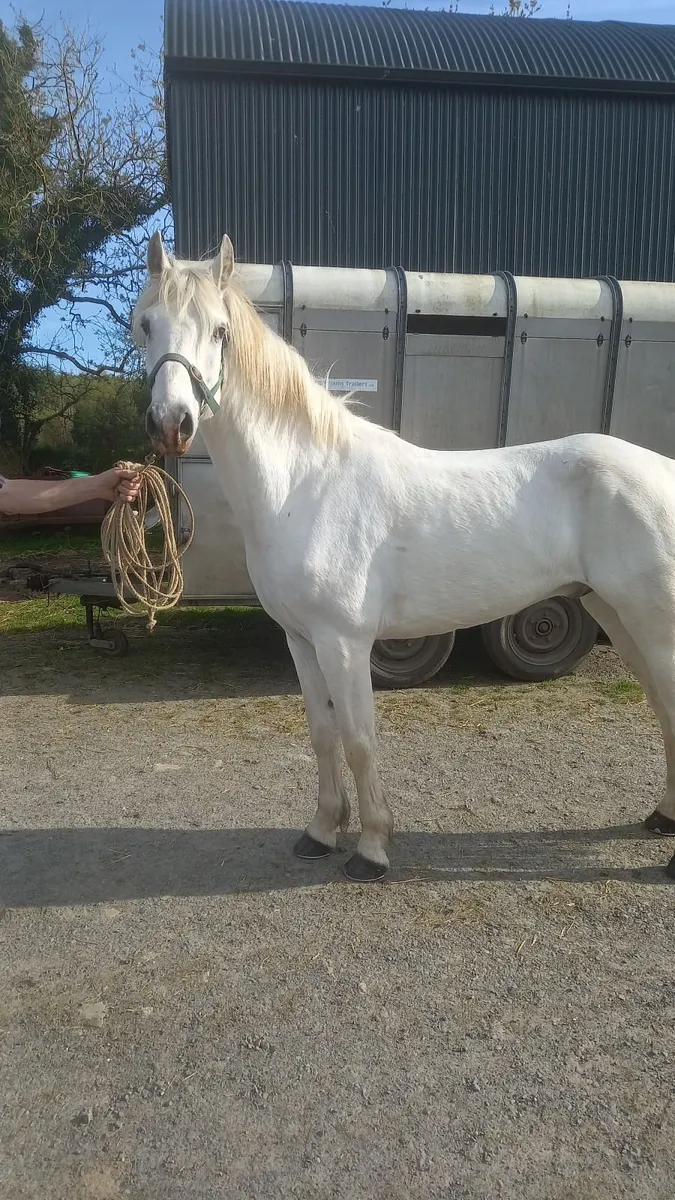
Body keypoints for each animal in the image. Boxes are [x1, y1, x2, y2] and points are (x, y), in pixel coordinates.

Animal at [135, 231, 675, 882]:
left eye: (220, 331)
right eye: (146, 325)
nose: (172, 423)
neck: (305, 485)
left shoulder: (345, 642)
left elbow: (360, 740)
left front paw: (371, 849)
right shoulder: (300, 640)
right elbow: (322, 735)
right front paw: (321, 832)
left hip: (652, 621)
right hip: (615, 614)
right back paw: (662, 817)